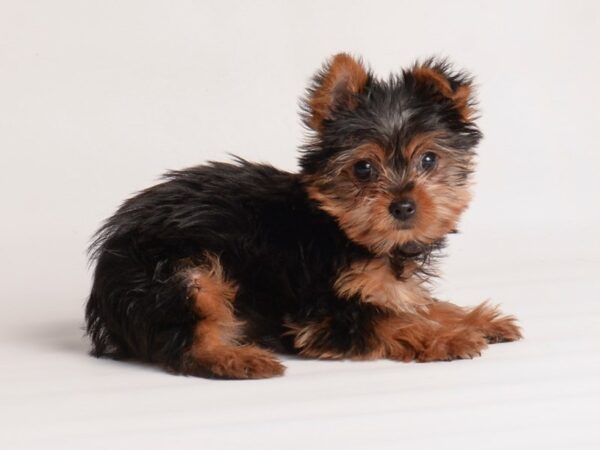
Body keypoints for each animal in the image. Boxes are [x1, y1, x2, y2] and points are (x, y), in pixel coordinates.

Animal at [84, 52, 520, 378]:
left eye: (429, 159)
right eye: (363, 168)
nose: (403, 206)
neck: (341, 227)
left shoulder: (382, 289)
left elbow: (418, 303)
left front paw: (477, 320)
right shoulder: (321, 315)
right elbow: (391, 321)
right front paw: (451, 337)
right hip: (179, 272)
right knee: (182, 340)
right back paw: (240, 358)